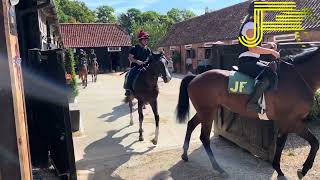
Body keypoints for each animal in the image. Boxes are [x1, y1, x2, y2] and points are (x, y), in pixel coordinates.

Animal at [176, 46, 318, 179]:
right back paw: (219, 168)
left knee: (191, 124)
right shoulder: (291, 121)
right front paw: (287, 170)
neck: (299, 78)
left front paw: (301, 170)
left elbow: (313, 142)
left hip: (204, 111)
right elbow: (297, 143)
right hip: (207, 112)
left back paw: (185, 155)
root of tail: (196, 77)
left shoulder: (291, 122)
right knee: (204, 137)